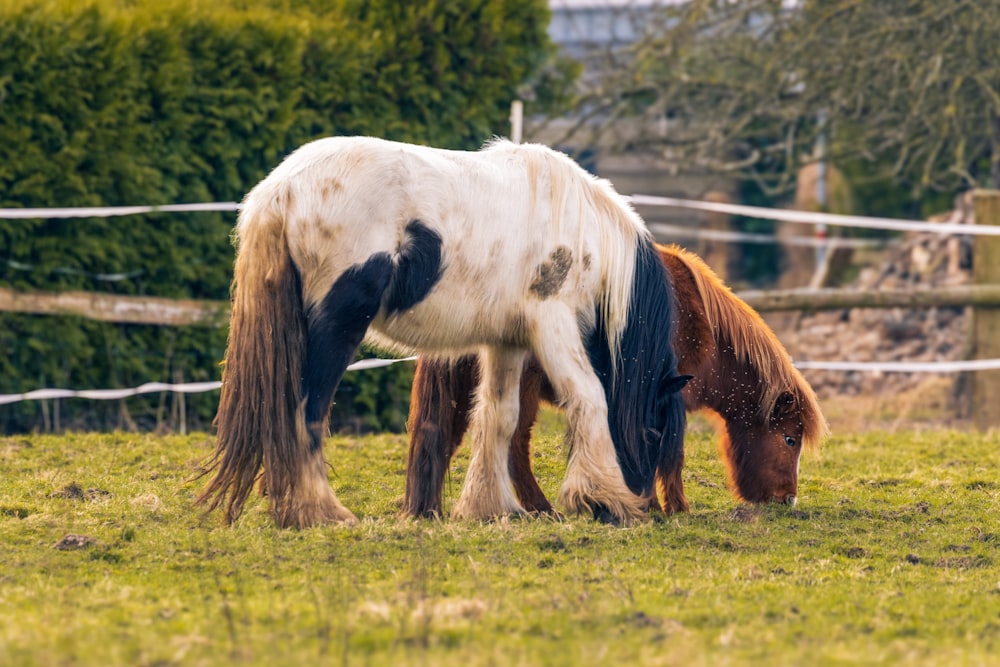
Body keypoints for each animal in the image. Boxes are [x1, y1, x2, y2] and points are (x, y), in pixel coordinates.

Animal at [199, 138, 692, 528]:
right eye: (654, 431)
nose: (648, 507)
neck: (583, 228)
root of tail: (281, 189)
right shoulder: (552, 322)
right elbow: (589, 397)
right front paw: (603, 496)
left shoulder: (508, 342)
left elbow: (499, 415)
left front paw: (488, 507)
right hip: (335, 329)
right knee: (308, 411)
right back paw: (320, 513)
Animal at [402, 244, 824, 516]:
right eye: (790, 439)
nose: (788, 499)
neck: (701, 323)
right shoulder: (666, 400)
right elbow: (668, 455)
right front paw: (670, 507)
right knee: (515, 445)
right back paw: (541, 508)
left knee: (441, 437)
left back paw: (429, 510)